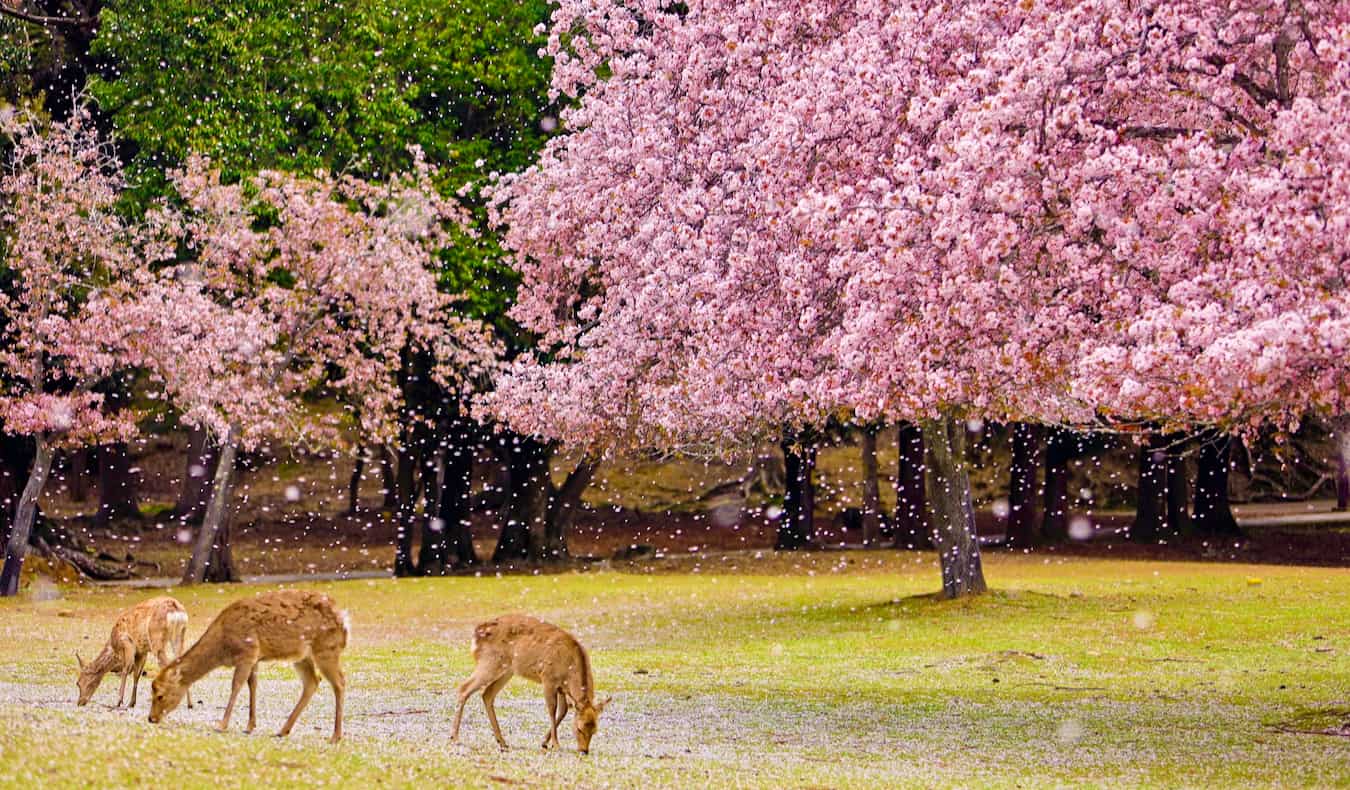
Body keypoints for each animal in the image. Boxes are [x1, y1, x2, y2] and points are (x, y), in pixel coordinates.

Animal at [148, 589, 349, 743]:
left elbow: (236, 685)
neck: (223, 647)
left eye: (160, 695)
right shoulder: (255, 658)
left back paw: (335, 736)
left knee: (339, 682)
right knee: (312, 681)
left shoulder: (247, 651)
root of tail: (344, 619)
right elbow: (252, 684)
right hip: (302, 656)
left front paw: (221, 725)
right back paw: (282, 730)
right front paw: (250, 726)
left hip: (326, 648)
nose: (151, 718)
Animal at [450, 614, 611, 754]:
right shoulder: (548, 678)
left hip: (507, 670)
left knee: (487, 694)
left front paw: (545, 742)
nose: (584, 751)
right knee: (464, 688)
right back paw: (455, 738)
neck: (570, 670)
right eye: (579, 729)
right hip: (490, 662)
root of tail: (476, 635)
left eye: (595, 730)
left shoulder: (561, 688)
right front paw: (555, 744)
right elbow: (552, 709)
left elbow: (563, 710)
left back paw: (502, 741)